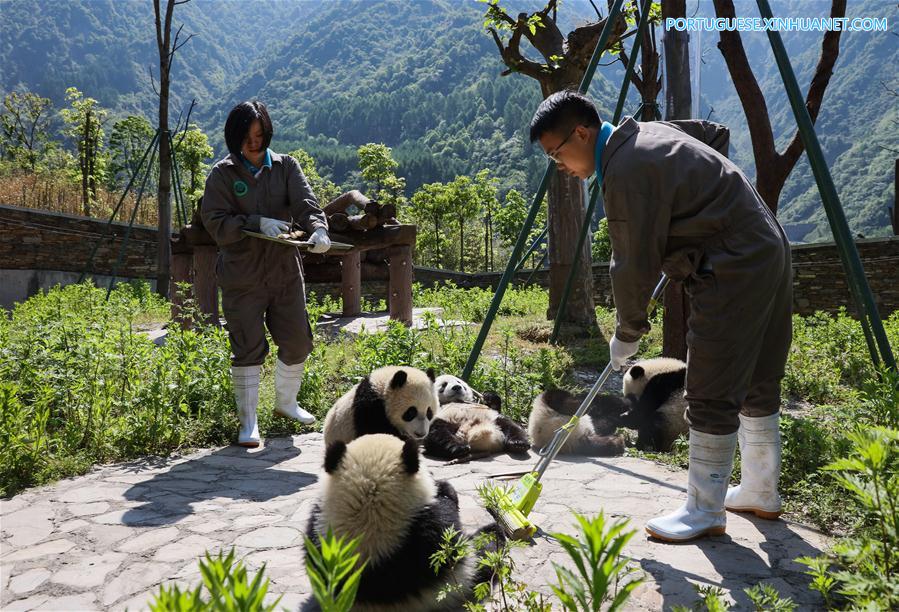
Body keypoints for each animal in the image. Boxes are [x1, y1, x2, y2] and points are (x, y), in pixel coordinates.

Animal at [308, 436, 506, 612]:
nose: (433, 474)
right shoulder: (433, 532)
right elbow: (451, 537)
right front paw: (445, 489)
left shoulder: (317, 530)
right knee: (488, 548)